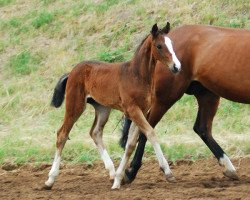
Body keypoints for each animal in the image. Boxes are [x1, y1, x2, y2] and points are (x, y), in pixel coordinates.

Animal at [44, 22, 182, 190]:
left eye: (171, 43)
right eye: (159, 46)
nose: (176, 66)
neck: (137, 75)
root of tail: (71, 72)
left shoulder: (141, 111)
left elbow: (130, 144)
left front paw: (118, 179)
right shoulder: (132, 110)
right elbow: (150, 133)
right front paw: (168, 172)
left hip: (103, 108)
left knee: (95, 132)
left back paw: (111, 172)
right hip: (75, 105)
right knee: (62, 134)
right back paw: (50, 179)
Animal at [119, 23, 250, 184]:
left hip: (207, 95)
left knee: (202, 128)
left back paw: (228, 167)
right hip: (165, 98)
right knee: (146, 129)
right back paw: (134, 171)